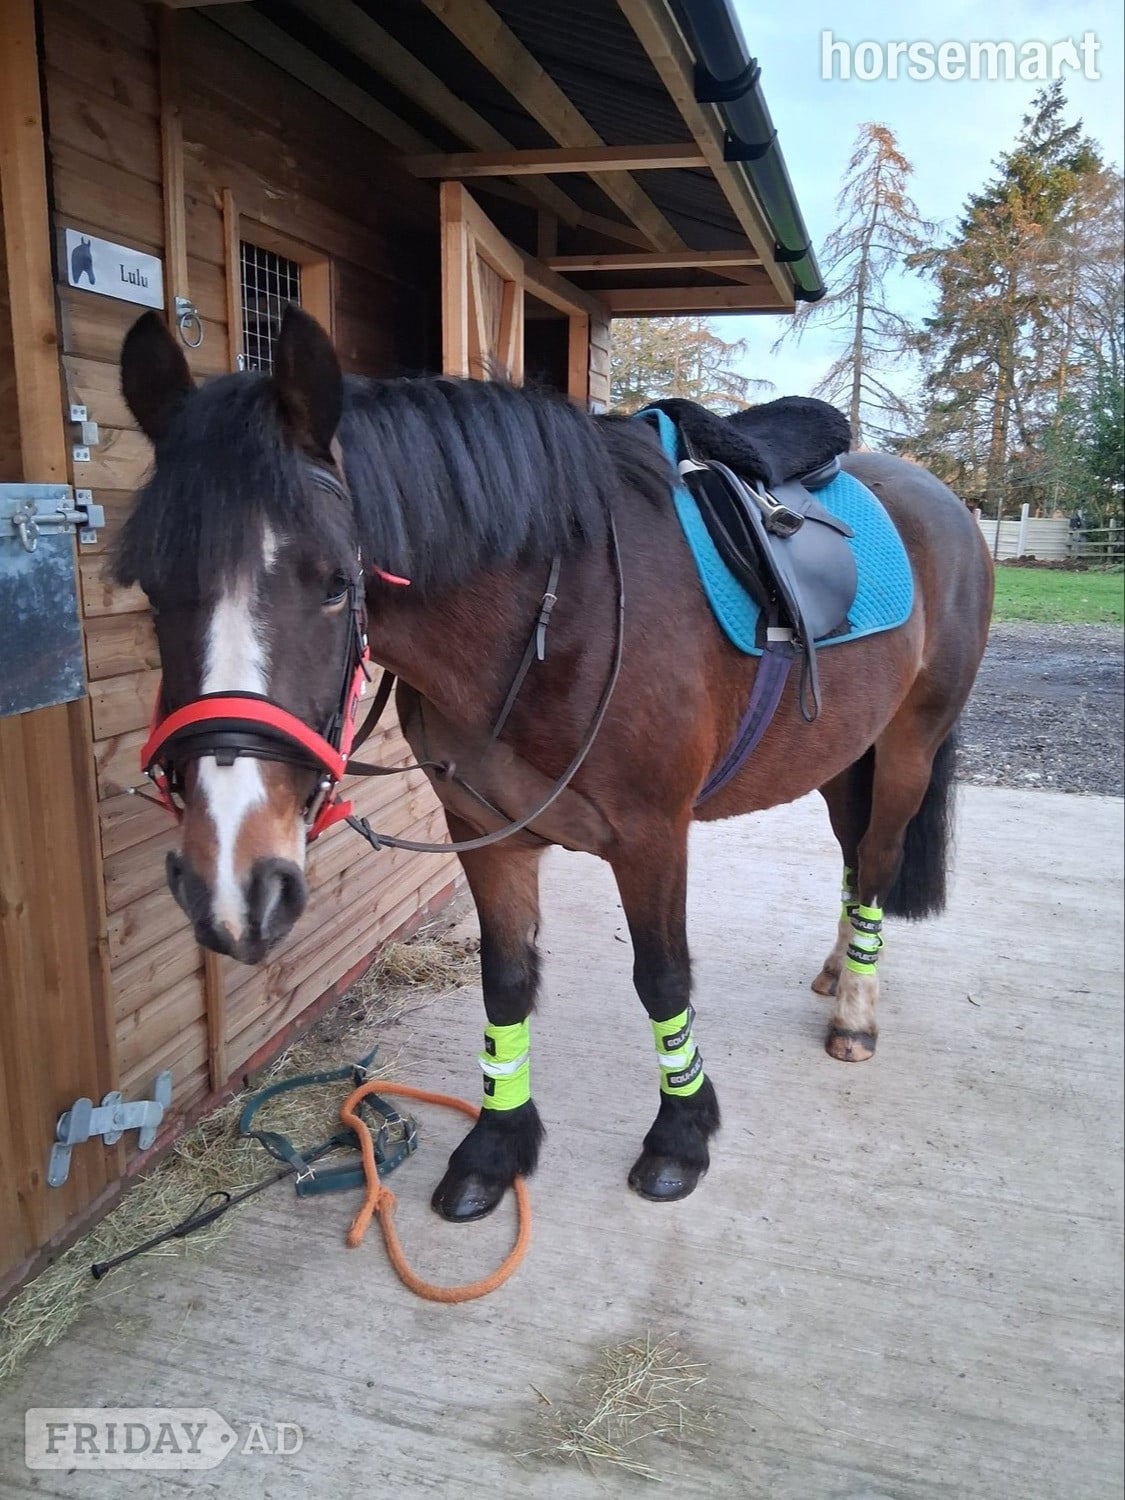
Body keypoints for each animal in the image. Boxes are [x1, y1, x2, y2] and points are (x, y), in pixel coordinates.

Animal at [116, 307, 993, 1222]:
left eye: (331, 584)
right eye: (150, 587)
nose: (234, 885)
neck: (555, 613)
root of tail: (942, 498)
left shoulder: (652, 836)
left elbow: (662, 980)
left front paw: (680, 1134)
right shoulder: (485, 831)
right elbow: (505, 981)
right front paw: (496, 1144)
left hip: (907, 746)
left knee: (878, 858)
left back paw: (855, 1010)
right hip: (840, 755)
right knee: (855, 859)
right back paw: (834, 971)